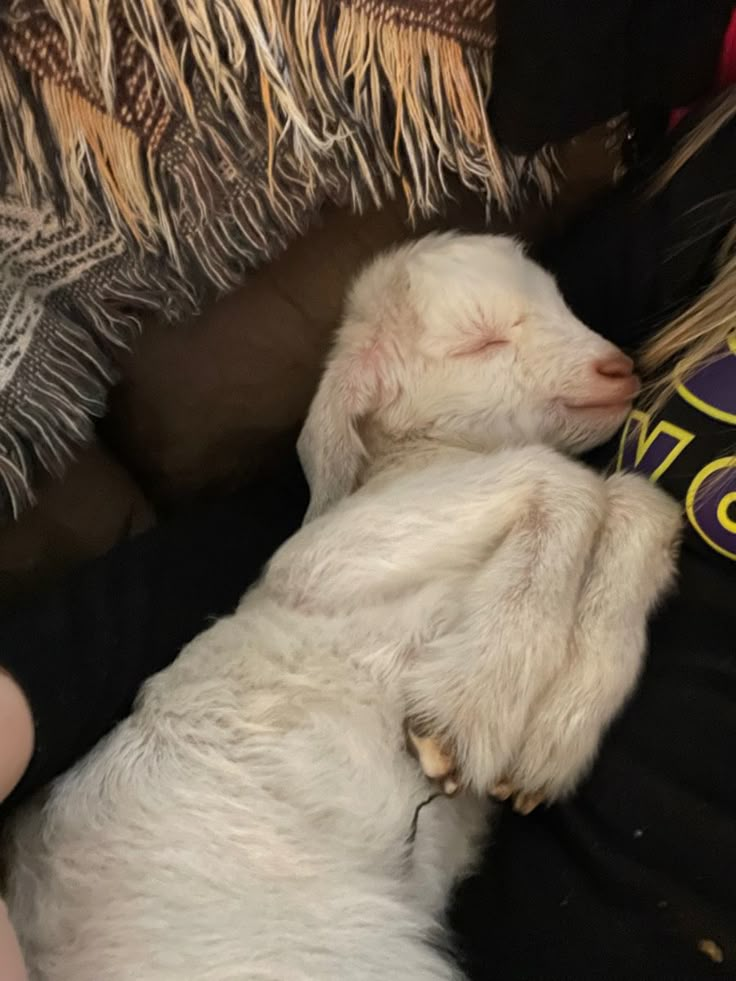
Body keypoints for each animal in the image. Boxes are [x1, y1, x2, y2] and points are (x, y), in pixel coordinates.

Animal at [4, 235, 680, 980]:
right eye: (481, 341)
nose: (618, 370)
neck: (435, 455)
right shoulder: (314, 561)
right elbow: (562, 479)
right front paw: (469, 710)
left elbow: (639, 504)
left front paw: (555, 739)